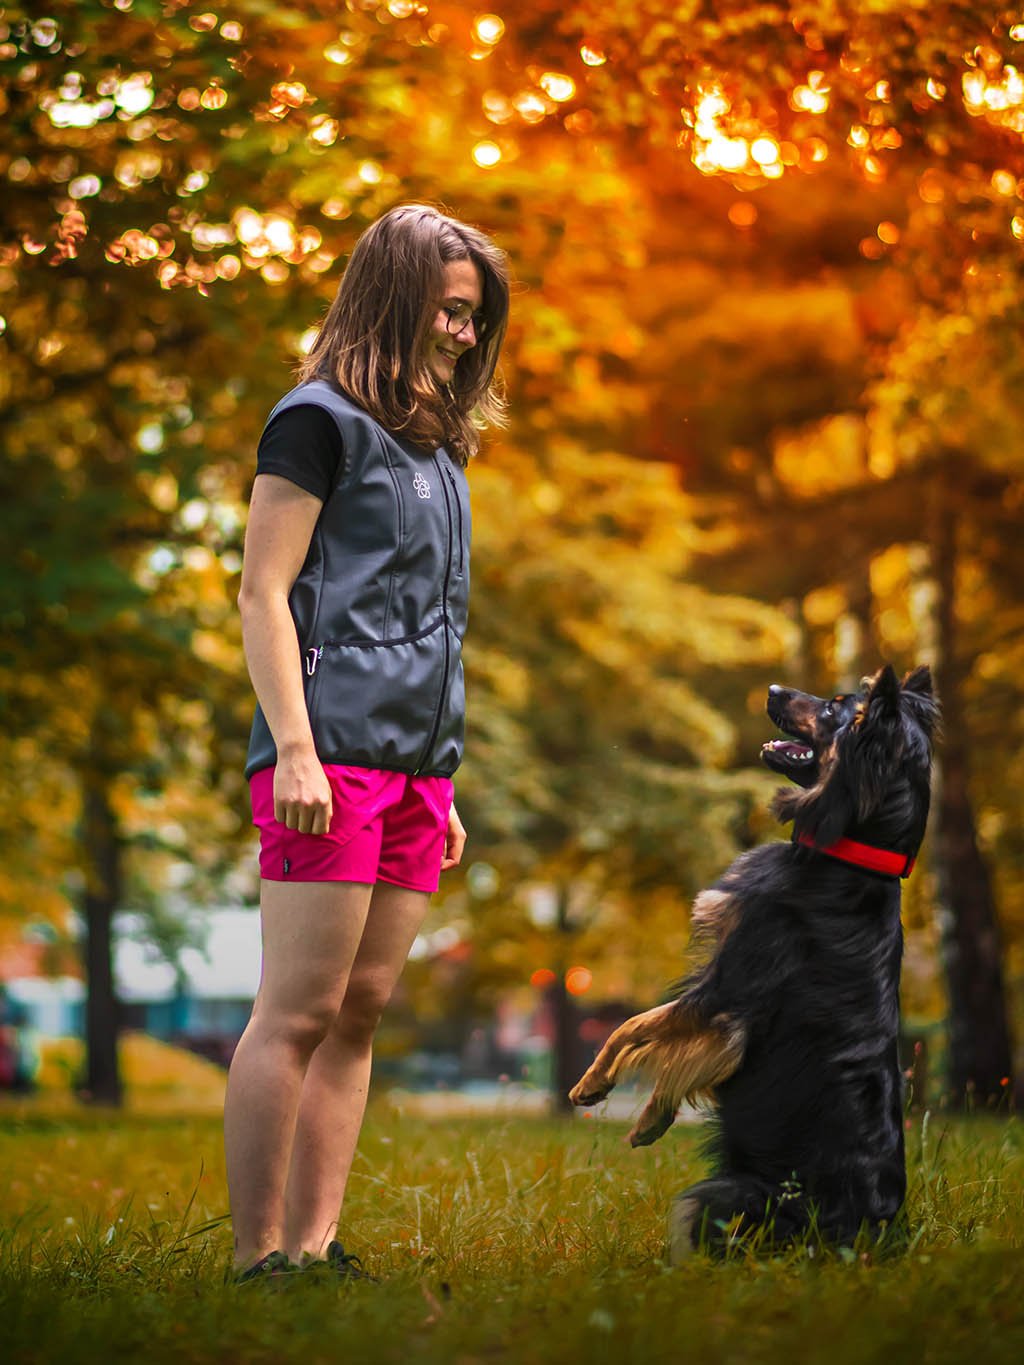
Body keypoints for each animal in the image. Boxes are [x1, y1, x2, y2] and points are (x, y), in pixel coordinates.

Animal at [573, 663, 944, 1255]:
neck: (852, 859)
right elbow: (666, 1044)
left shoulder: (726, 992)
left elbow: (634, 1025)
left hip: (723, 1197)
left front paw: (593, 1084)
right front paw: (652, 1118)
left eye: (833, 707)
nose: (771, 689)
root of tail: (869, 1235)